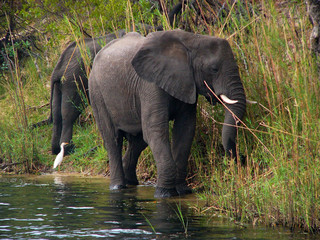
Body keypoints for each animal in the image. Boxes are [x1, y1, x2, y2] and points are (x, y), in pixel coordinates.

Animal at [89, 29, 246, 199]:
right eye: (214, 69)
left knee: (139, 141)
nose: (241, 158)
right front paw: (164, 194)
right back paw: (118, 187)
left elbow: (185, 129)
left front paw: (183, 191)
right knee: (113, 139)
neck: (192, 40)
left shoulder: (186, 83)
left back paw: (131, 182)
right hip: (96, 93)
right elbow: (156, 130)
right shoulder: (150, 84)